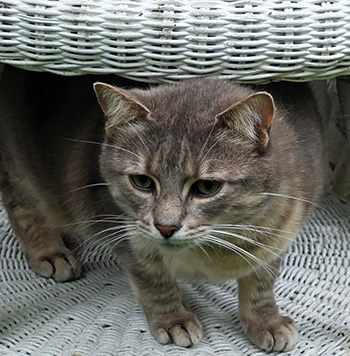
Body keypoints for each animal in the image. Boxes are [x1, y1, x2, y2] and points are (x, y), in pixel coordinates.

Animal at [0, 65, 326, 352]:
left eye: (206, 187)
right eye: (142, 181)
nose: (165, 226)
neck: (216, 250)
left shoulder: (279, 238)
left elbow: (260, 285)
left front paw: (266, 322)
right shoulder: (127, 236)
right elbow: (154, 282)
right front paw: (173, 318)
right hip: (21, 172)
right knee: (21, 208)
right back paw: (51, 252)